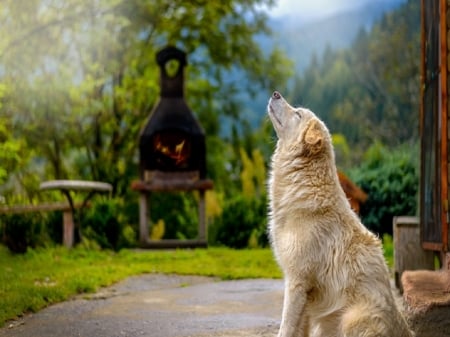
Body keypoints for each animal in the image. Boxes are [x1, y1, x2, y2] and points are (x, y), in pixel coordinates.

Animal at [266, 91, 414, 336]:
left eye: (297, 114)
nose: (276, 93)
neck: (304, 181)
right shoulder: (304, 291)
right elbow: (298, 329)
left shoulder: (297, 282)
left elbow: (286, 326)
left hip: (350, 319)